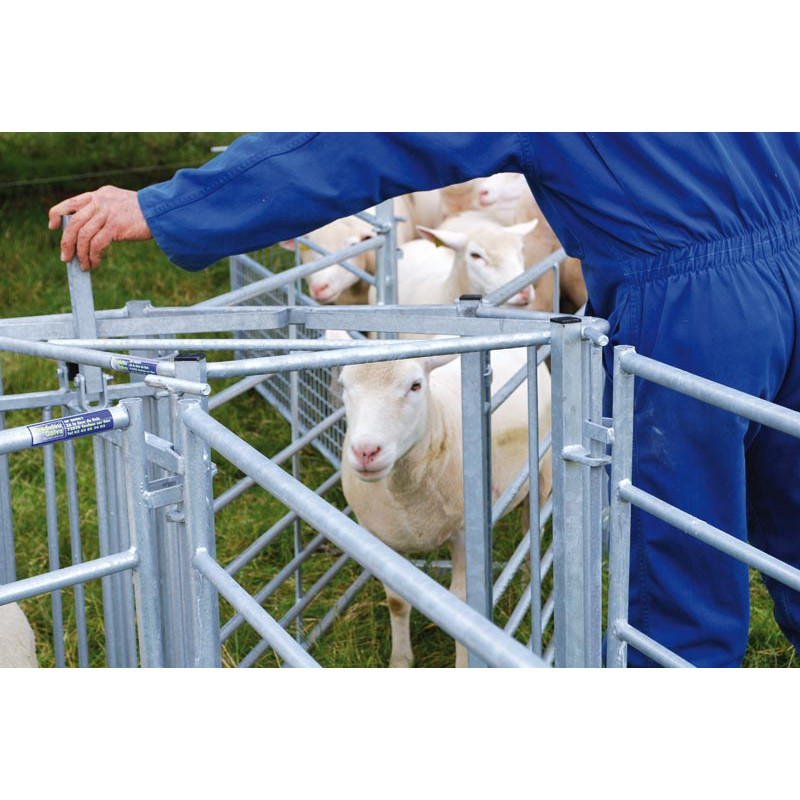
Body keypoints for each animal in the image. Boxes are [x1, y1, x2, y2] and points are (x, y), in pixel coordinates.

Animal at [338, 342, 552, 667]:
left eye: (415, 386)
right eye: (343, 386)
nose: (365, 451)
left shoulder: (463, 534)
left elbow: (461, 606)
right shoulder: (381, 537)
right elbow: (397, 601)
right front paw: (400, 659)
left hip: (542, 476)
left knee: (532, 536)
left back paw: (529, 582)